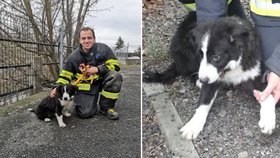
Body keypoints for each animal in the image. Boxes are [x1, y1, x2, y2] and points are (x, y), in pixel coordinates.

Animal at [143, 13, 276, 139]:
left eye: (216, 57)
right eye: (201, 55)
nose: (203, 80)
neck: (230, 65)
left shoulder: (251, 73)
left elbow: (267, 95)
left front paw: (268, 120)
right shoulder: (208, 77)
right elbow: (204, 102)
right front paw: (193, 125)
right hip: (187, 50)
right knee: (186, 70)